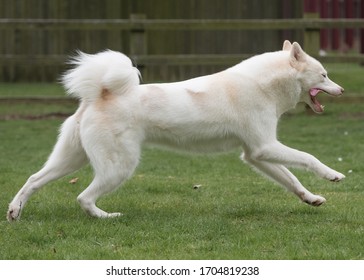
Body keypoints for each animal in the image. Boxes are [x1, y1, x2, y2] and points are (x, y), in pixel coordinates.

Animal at [7, 41, 346, 221]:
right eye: (324, 75)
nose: (342, 90)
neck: (263, 84)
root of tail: (101, 94)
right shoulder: (265, 147)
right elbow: (308, 158)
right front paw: (332, 175)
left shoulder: (256, 154)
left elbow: (291, 180)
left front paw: (311, 198)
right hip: (118, 167)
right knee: (83, 198)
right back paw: (107, 217)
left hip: (70, 159)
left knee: (33, 180)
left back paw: (14, 212)